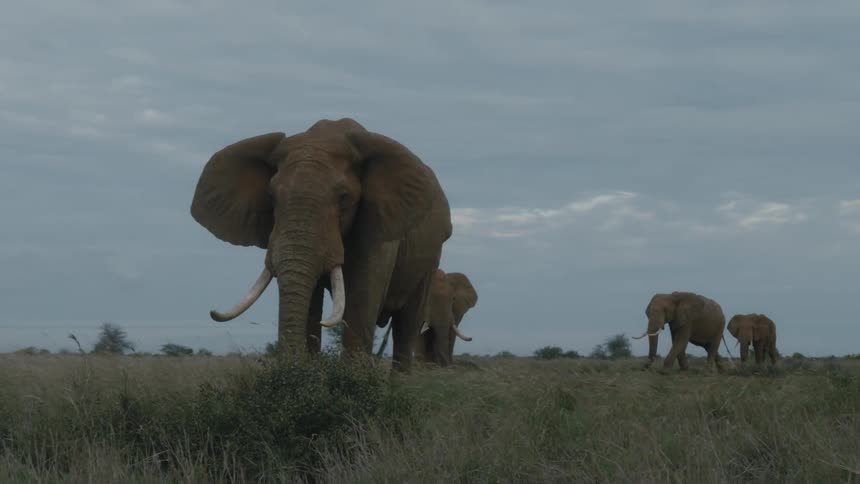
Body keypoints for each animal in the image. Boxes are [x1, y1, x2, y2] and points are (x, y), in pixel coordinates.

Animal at [190, 118, 452, 371]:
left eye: (345, 198)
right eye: (271, 197)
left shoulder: (378, 230)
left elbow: (360, 307)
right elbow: (310, 308)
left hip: (432, 255)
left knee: (407, 326)